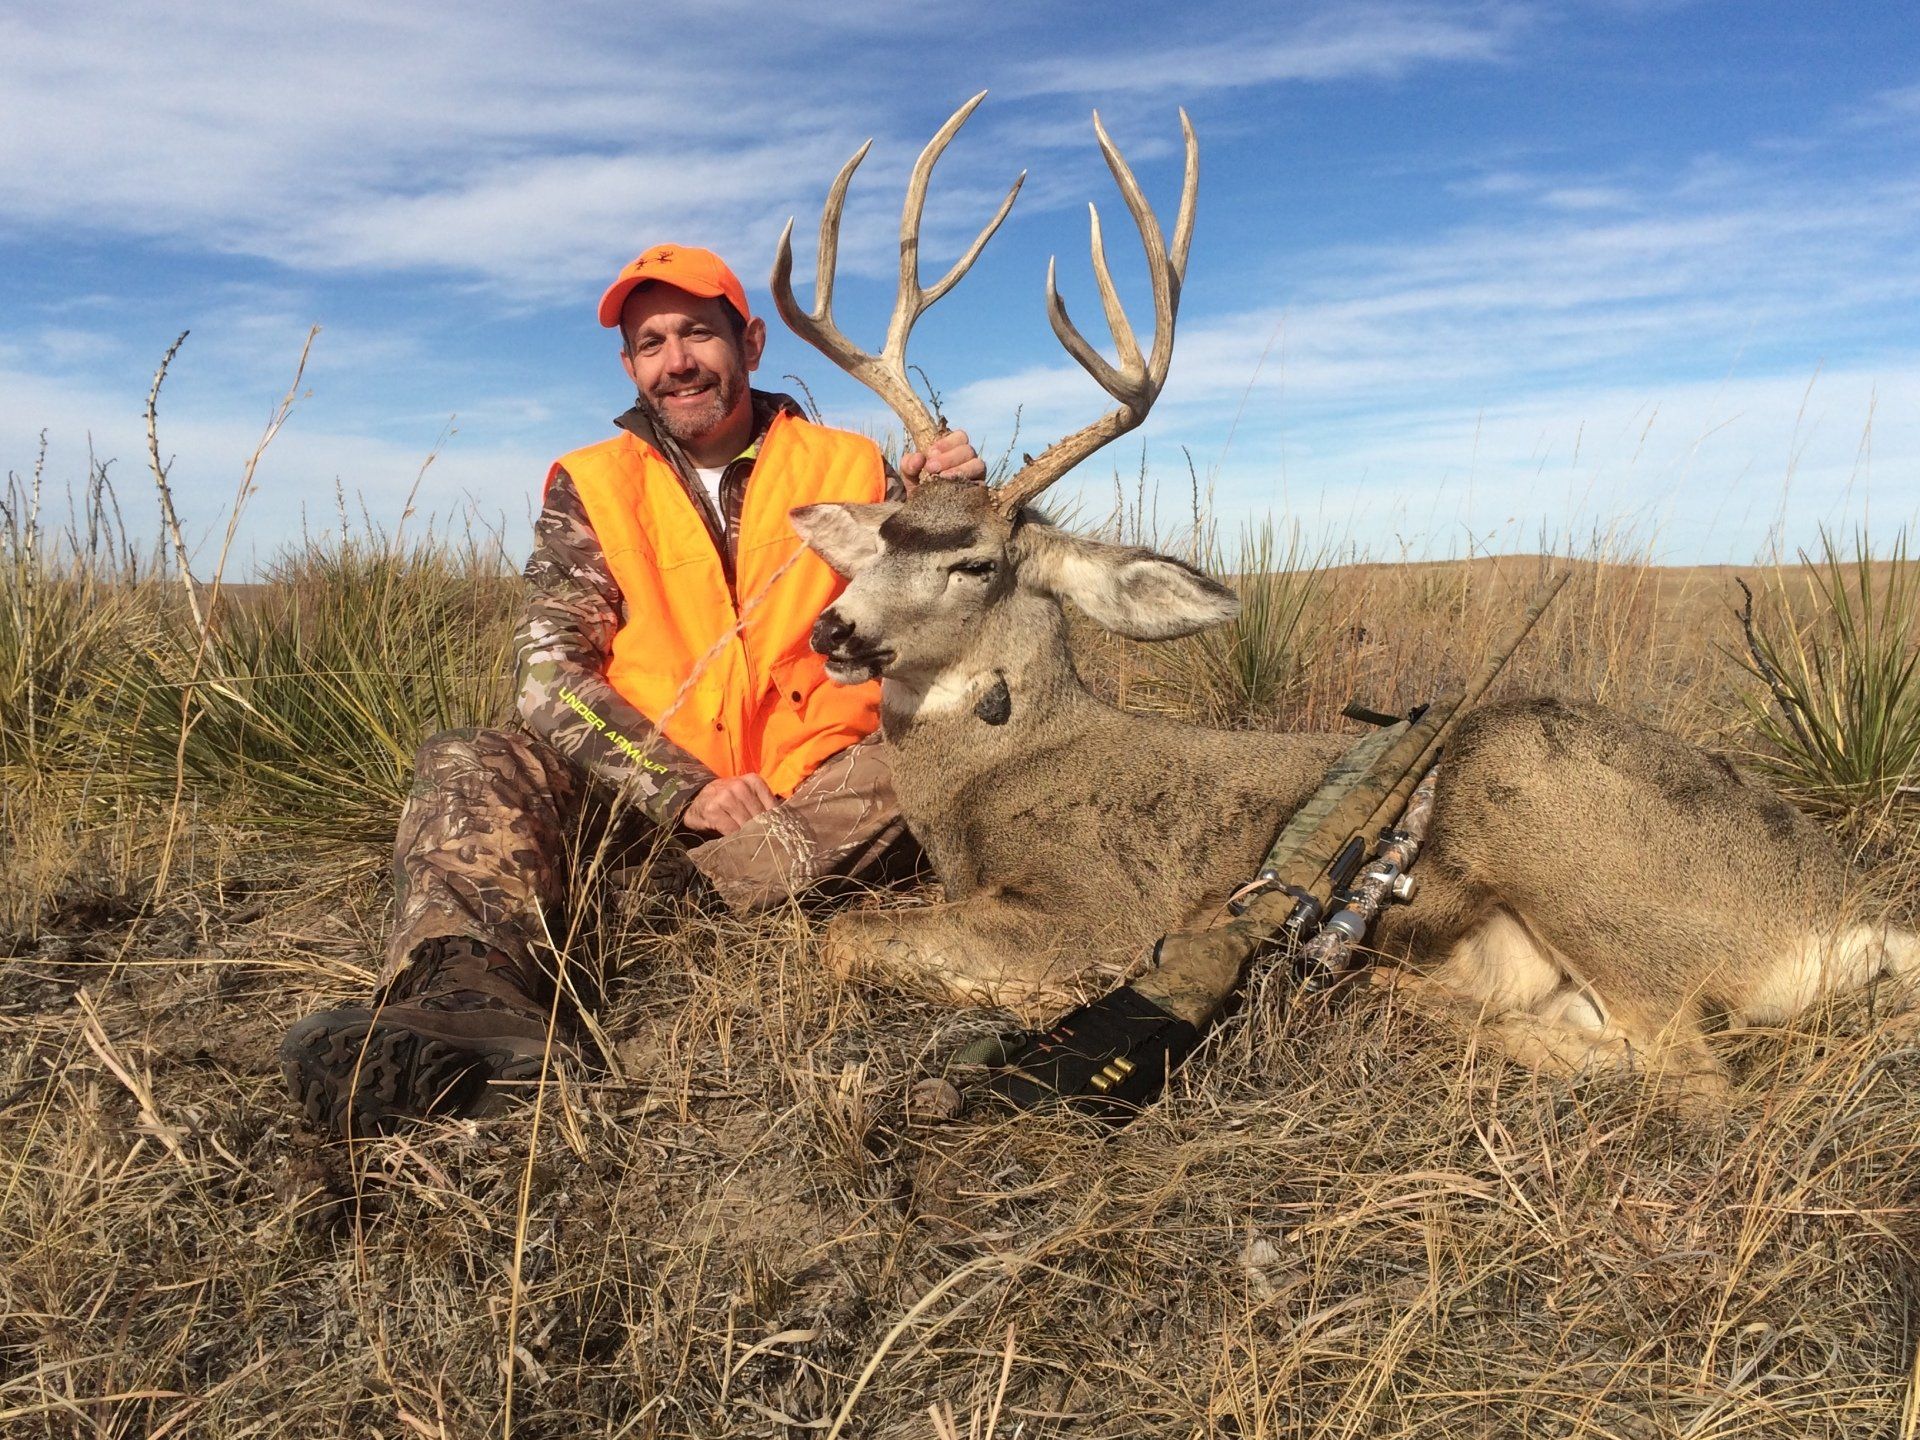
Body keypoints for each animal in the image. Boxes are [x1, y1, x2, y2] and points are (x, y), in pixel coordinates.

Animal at [769, 95, 1918, 1098]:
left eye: (975, 563)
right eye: (883, 534)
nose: (835, 627)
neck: (996, 774)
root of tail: (1854, 912)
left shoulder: (1095, 903)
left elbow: (845, 938)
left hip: (1553, 812)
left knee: (1695, 1077)